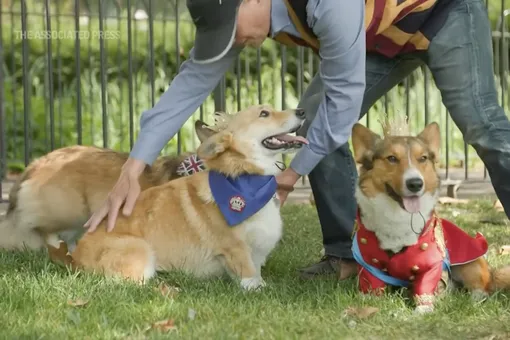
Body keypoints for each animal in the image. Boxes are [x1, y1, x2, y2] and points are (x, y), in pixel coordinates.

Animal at [48, 103, 306, 290]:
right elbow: (251, 279)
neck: (244, 179)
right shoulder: (235, 249)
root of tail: (74, 257)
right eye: (264, 113)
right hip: (141, 252)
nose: (302, 111)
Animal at [348, 119, 510, 314]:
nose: (415, 184)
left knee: (481, 285)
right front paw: (370, 302)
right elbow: (371, 284)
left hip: (470, 263)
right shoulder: (369, 264)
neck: (398, 215)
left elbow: (425, 286)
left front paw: (422, 310)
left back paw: (473, 299)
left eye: (423, 158)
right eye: (392, 158)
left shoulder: (431, 266)